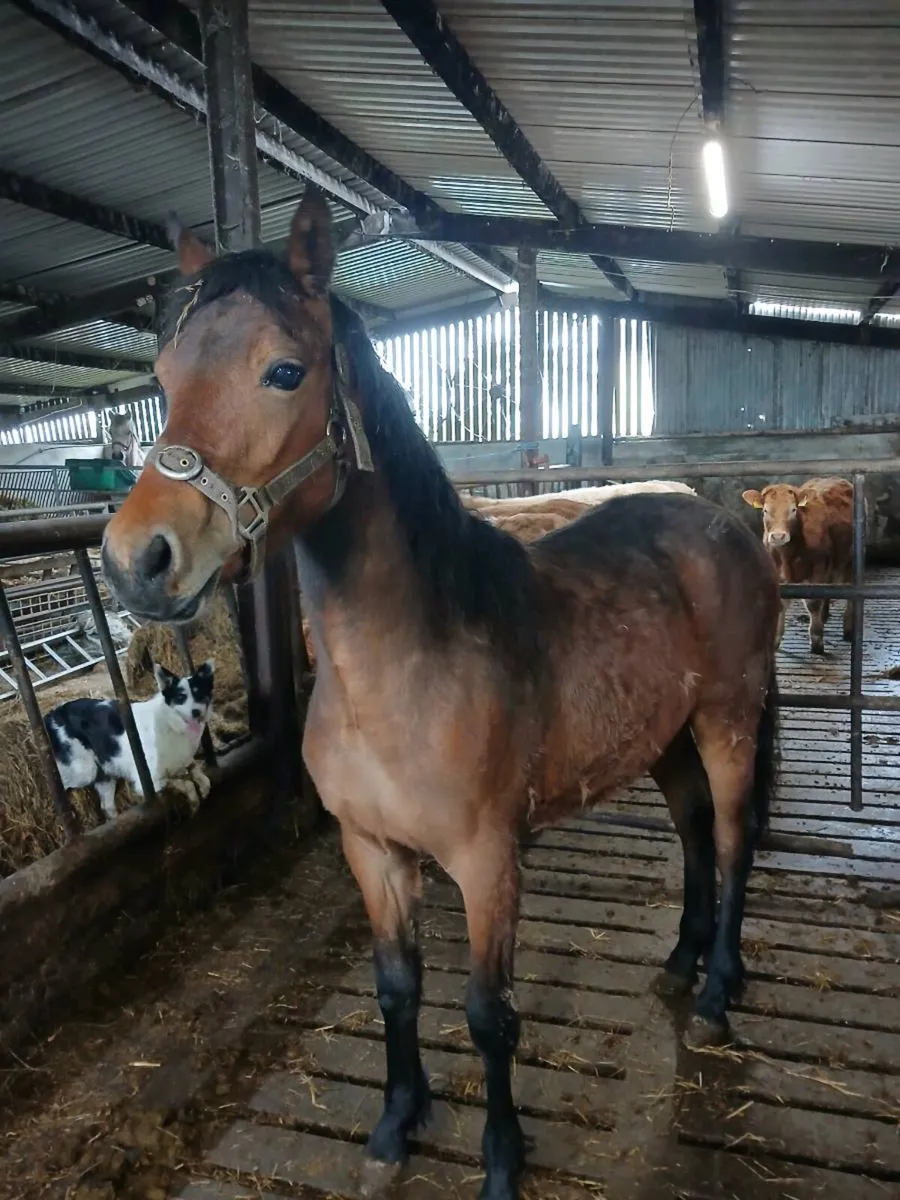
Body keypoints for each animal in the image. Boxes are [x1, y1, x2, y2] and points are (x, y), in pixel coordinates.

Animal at [101, 190, 781, 1200]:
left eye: (284, 371)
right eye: (163, 373)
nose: (136, 561)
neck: (400, 672)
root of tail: (722, 521)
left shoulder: (489, 865)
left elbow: (488, 1014)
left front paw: (500, 1159)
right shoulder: (373, 852)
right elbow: (399, 989)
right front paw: (395, 1122)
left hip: (729, 722)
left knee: (734, 846)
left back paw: (717, 991)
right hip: (664, 740)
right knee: (696, 835)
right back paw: (679, 961)